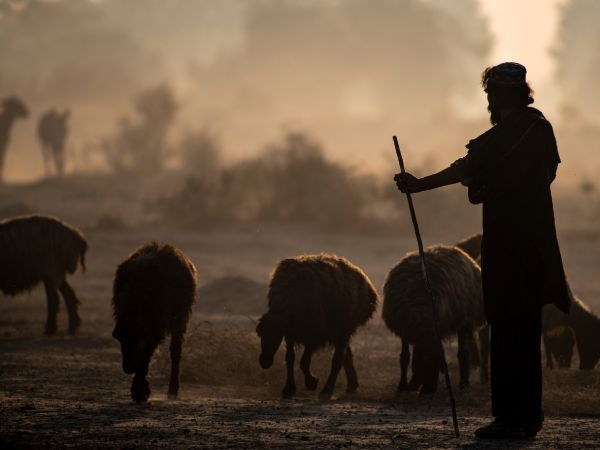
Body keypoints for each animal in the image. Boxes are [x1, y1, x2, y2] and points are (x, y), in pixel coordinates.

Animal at [111, 243, 198, 404]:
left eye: (135, 337)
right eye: (119, 338)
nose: (128, 367)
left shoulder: (156, 329)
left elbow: (144, 357)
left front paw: (139, 392)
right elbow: (142, 356)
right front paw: (142, 390)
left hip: (180, 319)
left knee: (175, 351)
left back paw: (173, 390)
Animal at [255, 253, 378, 400]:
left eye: (275, 335)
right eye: (260, 334)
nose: (264, 361)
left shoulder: (313, 333)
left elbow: (303, 362)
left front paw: (312, 382)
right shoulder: (291, 333)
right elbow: (290, 358)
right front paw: (288, 389)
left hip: (344, 328)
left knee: (337, 359)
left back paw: (327, 391)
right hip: (339, 331)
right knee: (346, 355)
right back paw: (352, 385)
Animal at [382, 244, 490, 396]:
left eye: (435, 364)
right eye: (423, 362)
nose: (428, 390)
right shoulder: (404, 329)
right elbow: (404, 357)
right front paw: (402, 386)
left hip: (463, 320)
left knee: (463, 353)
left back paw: (464, 384)